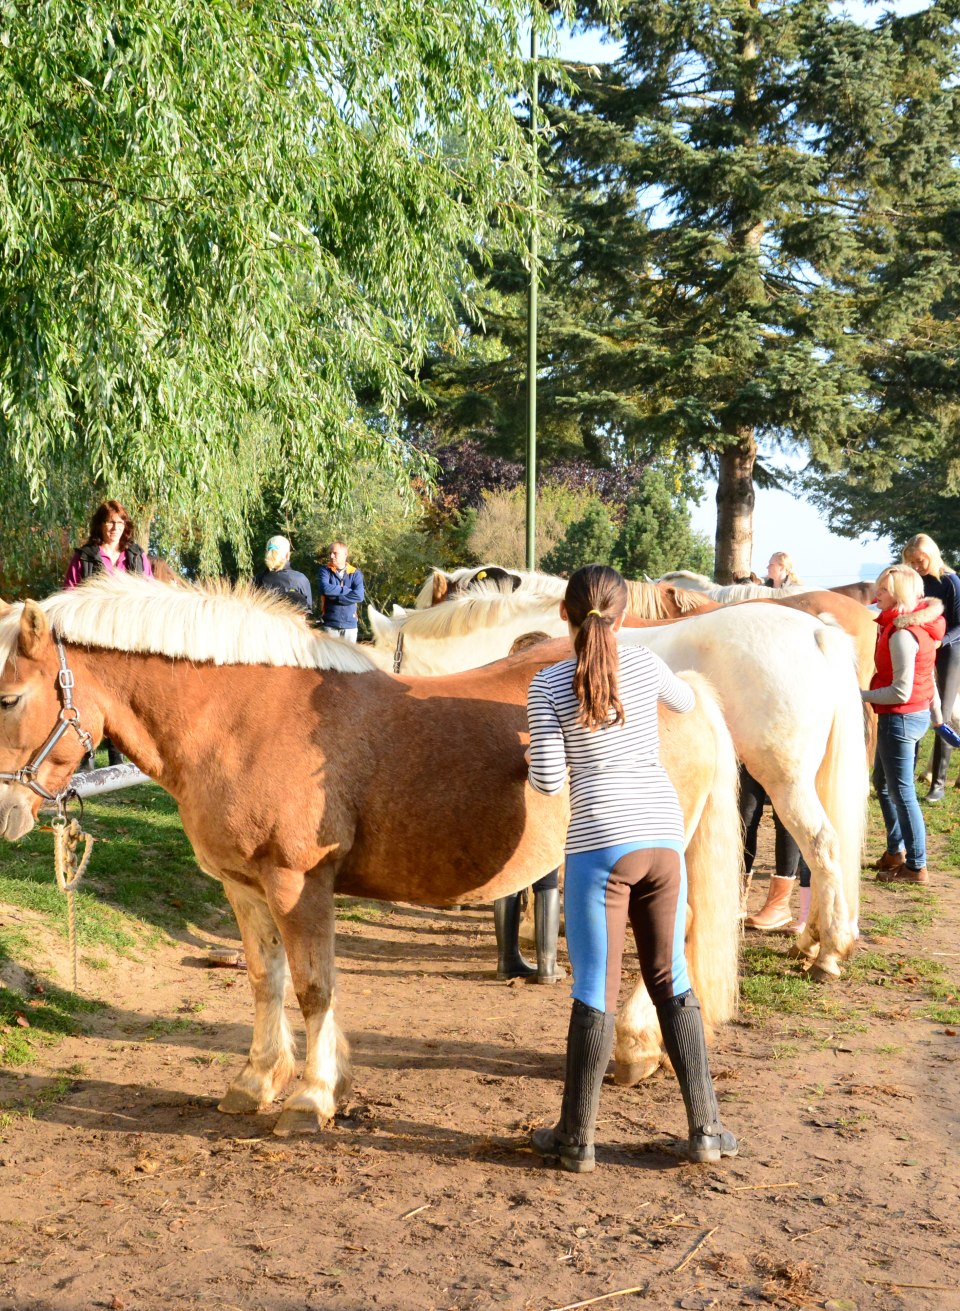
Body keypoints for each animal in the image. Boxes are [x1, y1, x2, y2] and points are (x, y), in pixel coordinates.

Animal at [0, 574, 742, 1125]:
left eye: (8, 696)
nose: (5, 810)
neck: (240, 716)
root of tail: (683, 687)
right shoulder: (243, 885)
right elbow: (265, 979)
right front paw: (256, 1080)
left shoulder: (299, 882)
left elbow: (313, 985)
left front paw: (311, 1095)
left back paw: (636, 1051)